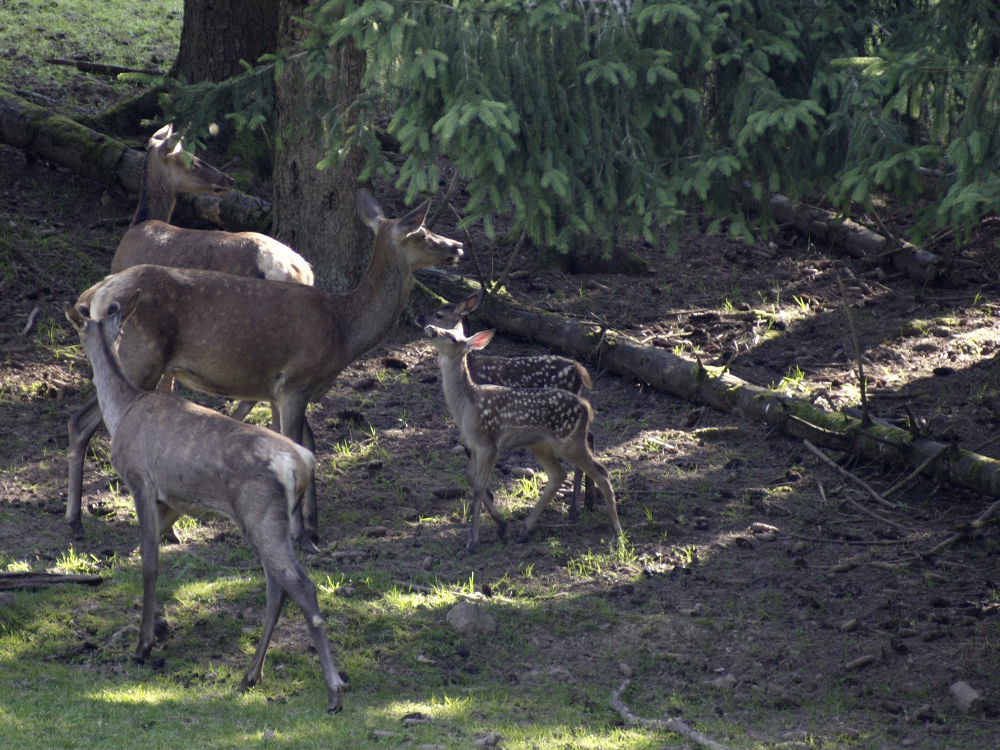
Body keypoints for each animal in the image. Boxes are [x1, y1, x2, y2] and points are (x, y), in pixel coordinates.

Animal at [64, 296, 348, 716]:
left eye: (81, 331)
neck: (123, 411)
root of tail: (301, 463)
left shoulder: (140, 481)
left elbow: (149, 564)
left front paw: (143, 646)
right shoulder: (171, 500)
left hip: (260, 513)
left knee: (301, 585)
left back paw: (333, 690)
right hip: (266, 523)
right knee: (277, 586)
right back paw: (251, 674)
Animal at [66, 192, 464, 548]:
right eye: (421, 231)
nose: (457, 246)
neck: (344, 330)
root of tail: (96, 293)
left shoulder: (278, 390)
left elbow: (304, 448)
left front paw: (311, 527)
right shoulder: (295, 382)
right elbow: (298, 447)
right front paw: (301, 536)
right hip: (138, 358)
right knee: (83, 420)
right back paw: (83, 521)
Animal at [414, 290, 592, 520]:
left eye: (439, 314)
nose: (420, 319)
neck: (471, 368)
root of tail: (579, 369)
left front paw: (483, 506)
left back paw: (574, 509)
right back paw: (587, 503)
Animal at [420, 324, 616, 552]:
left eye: (453, 337)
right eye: (448, 328)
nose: (430, 328)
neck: (466, 404)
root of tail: (586, 407)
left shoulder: (488, 444)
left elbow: (478, 487)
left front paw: (473, 540)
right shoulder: (475, 446)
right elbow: (471, 478)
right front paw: (501, 526)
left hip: (569, 441)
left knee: (601, 473)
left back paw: (615, 531)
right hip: (542, 445)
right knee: (560, 474)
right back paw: (526, 528)